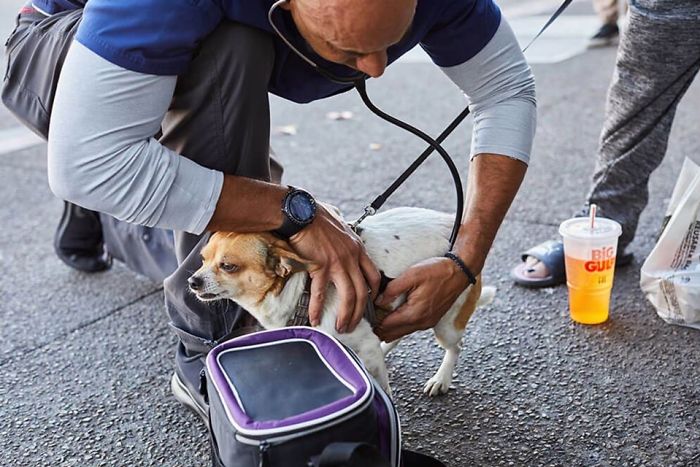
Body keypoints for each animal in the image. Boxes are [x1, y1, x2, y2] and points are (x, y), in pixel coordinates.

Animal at [189, 208, 494, 398]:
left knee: (454, 347)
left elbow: (383, 388)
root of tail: (455, 223)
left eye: (228, 266)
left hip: (446, 321)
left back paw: (441, 379)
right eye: (202, 259)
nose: (192, 281)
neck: (303, 290)